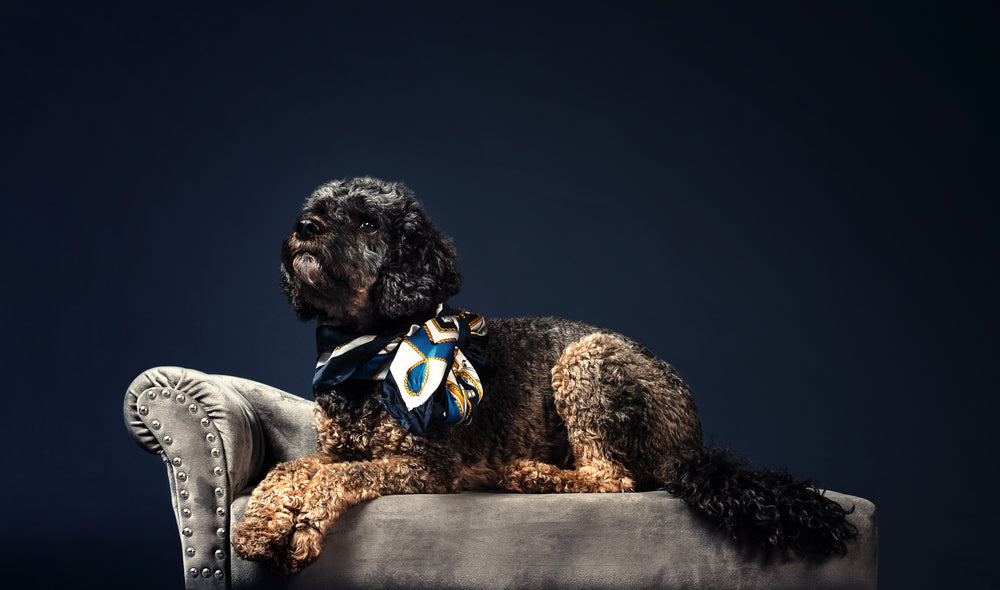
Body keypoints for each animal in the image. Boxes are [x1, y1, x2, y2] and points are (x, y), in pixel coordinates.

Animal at [230, 177, 856, 572]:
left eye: (366, 222)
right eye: (319, 207)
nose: (305, 226)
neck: (367, 350)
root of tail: (693, 445)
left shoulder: (428, 466)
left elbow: (339, 478)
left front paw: (299, 527)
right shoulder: (335, 448)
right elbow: (290, 469)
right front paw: (261, 522)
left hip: (584, 360)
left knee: (614, 479)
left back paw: (529, 473)